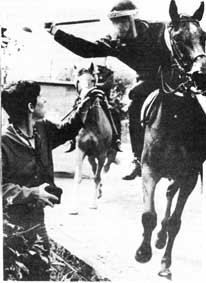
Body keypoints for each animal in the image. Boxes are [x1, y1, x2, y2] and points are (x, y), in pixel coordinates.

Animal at [69, 65, 113, 215]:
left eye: (93, 80)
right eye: (77, 81)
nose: (86, 98)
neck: (91, 122)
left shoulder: (102, 154)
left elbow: (97, 177)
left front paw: (93, 204)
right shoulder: (80, 150)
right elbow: (78, 177)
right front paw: (73, 208)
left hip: (102, 155)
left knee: (100, 171)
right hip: (90, 156)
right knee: (94, 169)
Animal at [135, 0, 206, 280]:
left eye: (204, 37)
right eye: (177, 38)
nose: (201, 74)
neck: (176, 115)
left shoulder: (189, 176)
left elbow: (175, 221)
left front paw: (165, 264)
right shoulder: (149, 169)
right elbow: (148, 215)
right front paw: (143, 252)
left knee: (170, 198)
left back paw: (161, 238)